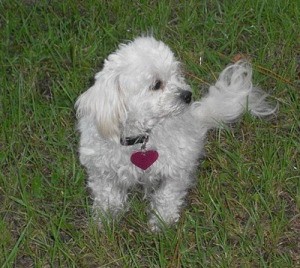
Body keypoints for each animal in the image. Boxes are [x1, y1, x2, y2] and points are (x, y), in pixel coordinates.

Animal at [75, 35, 276, 230]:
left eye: (176, 75)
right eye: (157, 84)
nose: (187, 95)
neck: (141, 138)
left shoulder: (177, 168)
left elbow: (168, 195)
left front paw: (162, 221)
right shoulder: (100, 169)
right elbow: (107, 193)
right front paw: (104, 217)